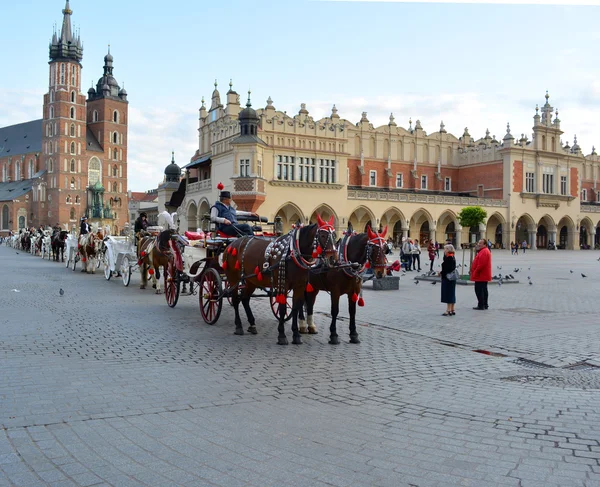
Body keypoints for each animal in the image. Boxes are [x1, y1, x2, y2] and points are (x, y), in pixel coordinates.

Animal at [224, 215, 338, 346]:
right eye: (323, 235)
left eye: (334, 235)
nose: (333, 258)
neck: (293, 253)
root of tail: (231, 245)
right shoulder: (282, 284)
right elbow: (283, 309)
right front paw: (282, 335)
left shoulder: (299, 286)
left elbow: (295, 308)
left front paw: (296, 335)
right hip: (234, 278)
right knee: (235, 300)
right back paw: (239, 326)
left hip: (251, 280)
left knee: (245, 299)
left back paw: (252, 325)